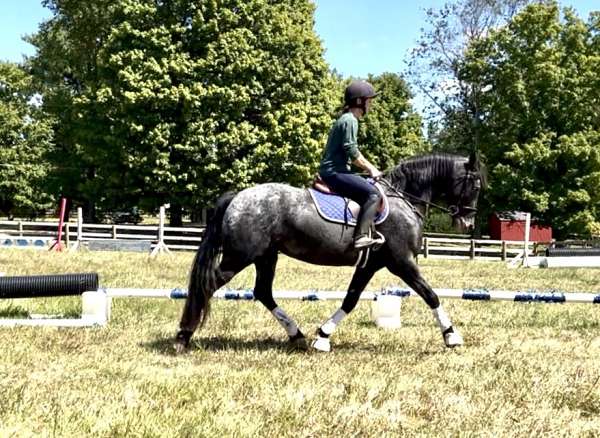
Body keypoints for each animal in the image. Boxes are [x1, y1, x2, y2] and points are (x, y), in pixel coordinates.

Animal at [176, 153, 486, 352]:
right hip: (239, 257)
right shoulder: (402, 262)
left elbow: (351, 299)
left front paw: (322, 336)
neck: (402, 199)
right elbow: (430, 295)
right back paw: (183, 337)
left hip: (266, 257)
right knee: (208, 286)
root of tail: (238, 197)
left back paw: (297, 336)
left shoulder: (370, 265)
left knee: (263, 292)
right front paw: (451, 336)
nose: (468, 223)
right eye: (475, 185)